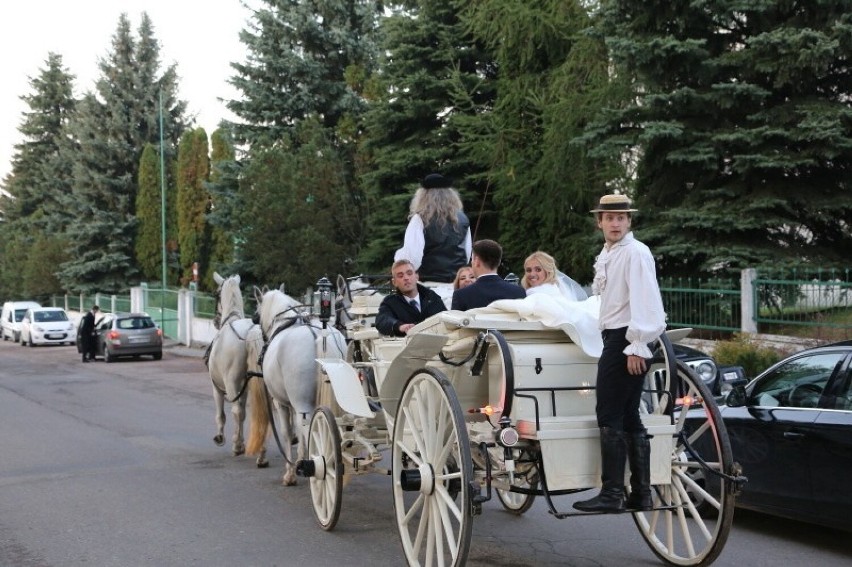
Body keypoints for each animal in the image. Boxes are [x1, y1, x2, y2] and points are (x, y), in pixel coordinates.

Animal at [208, 272, 268, 468]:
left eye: (216, 294)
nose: (215, 321)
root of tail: (251, 334)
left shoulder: (218, 387)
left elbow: (223, 414)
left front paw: (231, 441)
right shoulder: (246, 387)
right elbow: (243, 413)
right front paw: (240, 442)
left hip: (231, 382)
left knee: (237, 411)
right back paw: (262, 454)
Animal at [245, 290, 344, 486]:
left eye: (257, 315)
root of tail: (317, 335)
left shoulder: (280, 402)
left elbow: (287, 432)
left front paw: (291, 472)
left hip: (301, 404)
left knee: (308, 430)